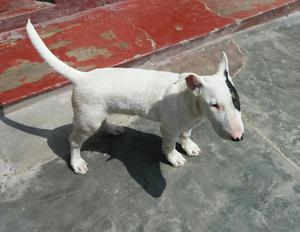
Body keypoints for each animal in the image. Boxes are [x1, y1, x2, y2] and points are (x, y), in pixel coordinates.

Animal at [26, 19, 244, 174]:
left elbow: (186, 134)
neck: (189, 100)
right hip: (88, 120)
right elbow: (169, 144)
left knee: (103, 122)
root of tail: (83, 76)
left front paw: (189, 146)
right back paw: (77, 162)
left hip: (97, 111)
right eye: (214, 105)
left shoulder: (190, 122)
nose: (238, 138)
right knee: (73, 140)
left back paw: (113, 129)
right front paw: (174, 157)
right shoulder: (169, 128)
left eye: (236, 101)